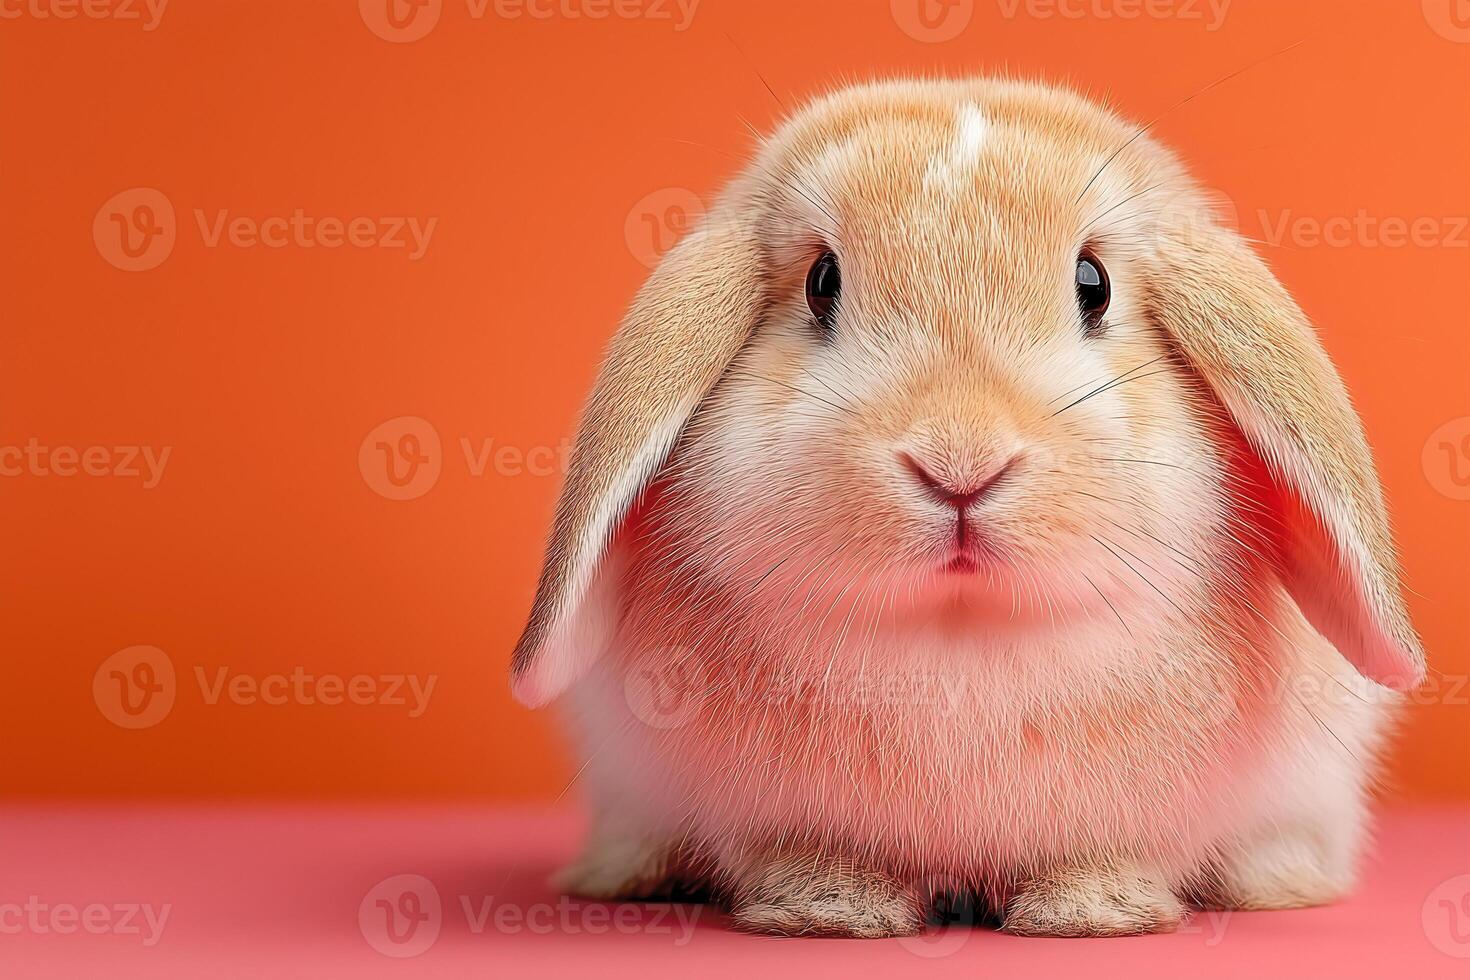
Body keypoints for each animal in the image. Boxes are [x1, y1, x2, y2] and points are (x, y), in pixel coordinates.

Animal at [508, 76, 1426, 938]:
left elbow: (1101, 858)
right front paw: (827, 908)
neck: (959, 636)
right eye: (821, 282)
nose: (961, 461)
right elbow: (810, 855)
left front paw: (1094, 912)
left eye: (1093, 285)